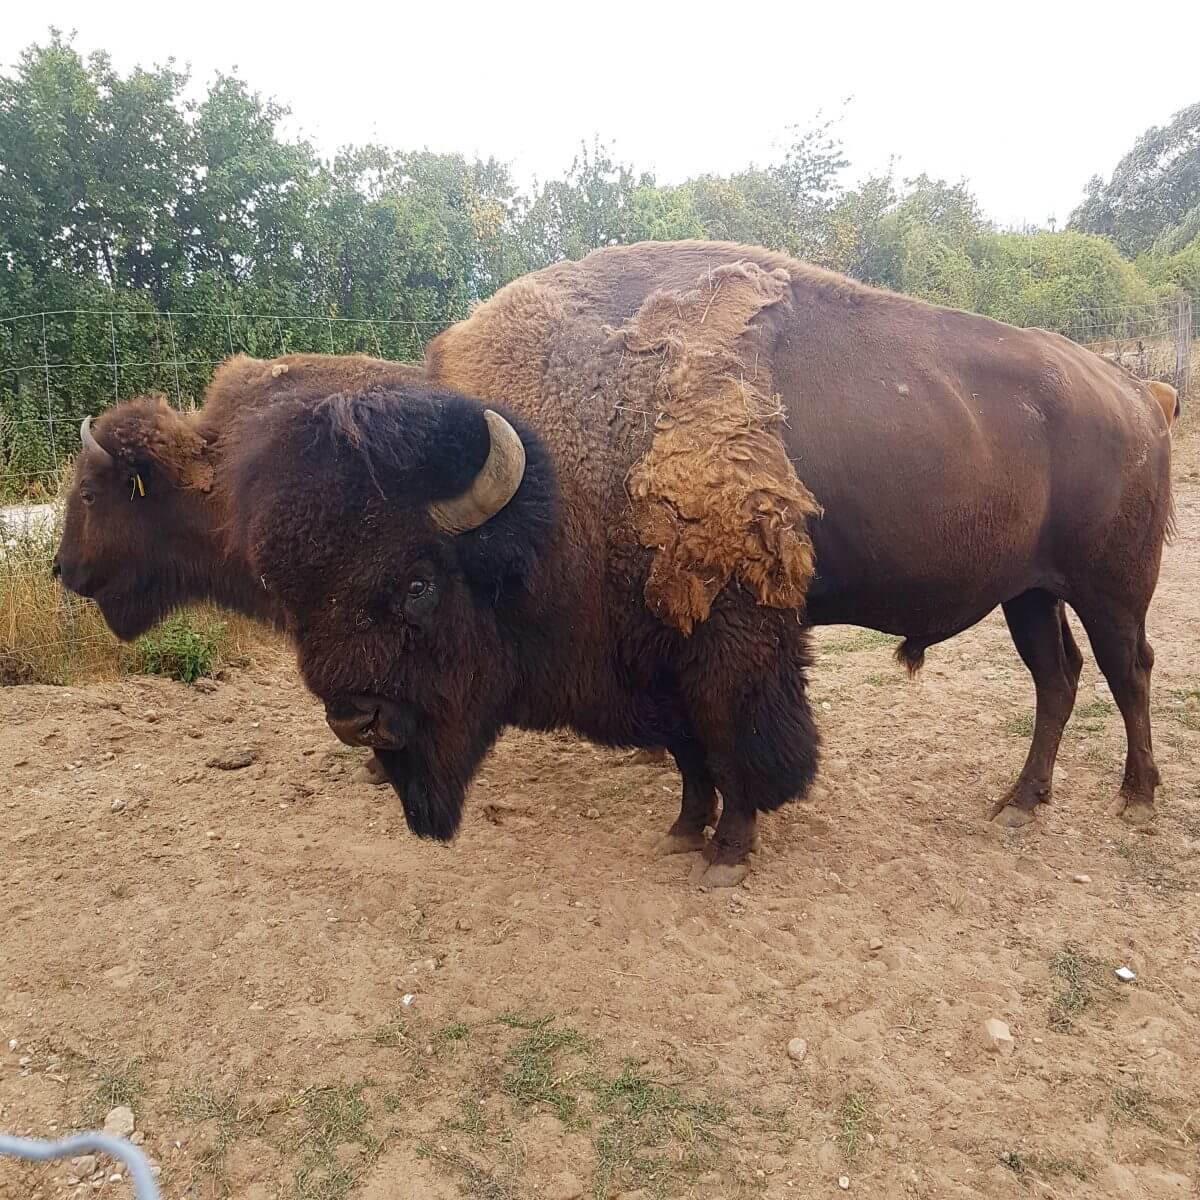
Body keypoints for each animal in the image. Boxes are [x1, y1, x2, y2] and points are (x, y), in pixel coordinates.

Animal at [204, 243, 1171, 888]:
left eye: (416, 583)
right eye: (290, 596)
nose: (353, 719)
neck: (560, 476)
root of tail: (1134, 392)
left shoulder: (728, 645)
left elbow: (733, 741)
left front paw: (727, 853)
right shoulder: (653, 645)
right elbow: (688, 751)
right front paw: (682, 828)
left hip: (1109, 588)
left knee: (1127, 670)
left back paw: (1133, 798)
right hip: (1029, 594)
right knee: (1057, 678)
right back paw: (1020, 805)